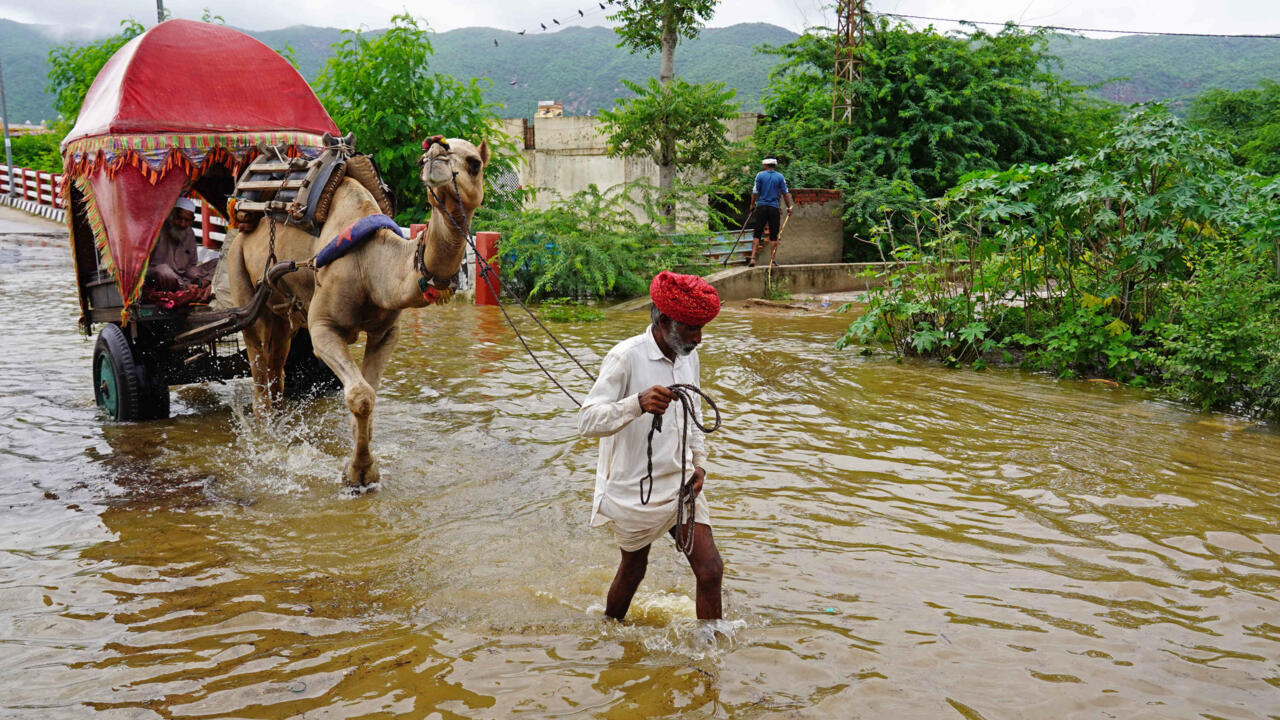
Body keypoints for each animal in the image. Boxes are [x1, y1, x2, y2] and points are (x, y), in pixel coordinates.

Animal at [225, 135, 488, 486]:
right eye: (422, 159)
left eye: (474, 163)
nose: (436, 152)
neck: (371, 263)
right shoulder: (322, 326)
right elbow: (361, 396)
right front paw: (359, 472)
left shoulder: (386, 333)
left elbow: (370, 395)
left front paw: (364, 468)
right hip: (239, 275)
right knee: (258, 374)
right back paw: (268, 442)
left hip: (281, 313)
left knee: (276, 369)